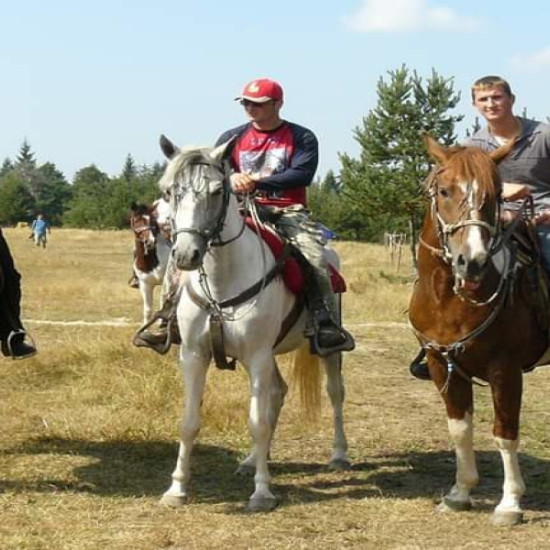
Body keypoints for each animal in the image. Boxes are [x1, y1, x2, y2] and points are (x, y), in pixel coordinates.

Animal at [157, 137, 352, 512]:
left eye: (218, 190)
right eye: (170, 190)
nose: (186, 255)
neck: (222, 281)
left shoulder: (258, 356)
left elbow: (257, 422)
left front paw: (262, 493)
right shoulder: (194, 356)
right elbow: (188, 423)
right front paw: (176, 488)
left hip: (325, 349)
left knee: (335, 392)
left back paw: (339, 454)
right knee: (277, 392)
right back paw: (250, 461)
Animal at [410, 136, 550, 528]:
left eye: (495, 194)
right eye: (444, 190)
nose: (471, 262)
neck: (450, 299)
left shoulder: (506, 369)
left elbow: (505, 433)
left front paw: (509, 504)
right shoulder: (441, 363)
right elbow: (459, 428)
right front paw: (460, 493)